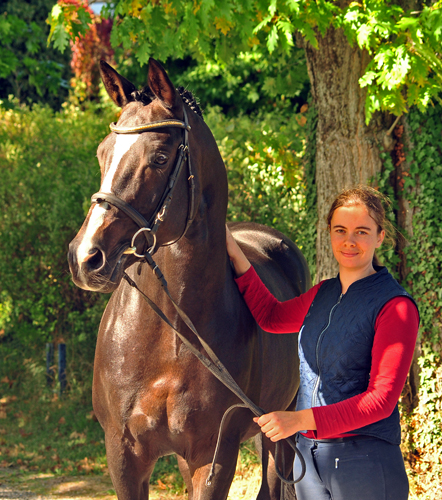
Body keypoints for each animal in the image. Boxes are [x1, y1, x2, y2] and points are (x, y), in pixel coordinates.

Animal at [69, 59, 310, 500]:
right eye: (102, 153)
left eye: (161, 157)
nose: (85, 257)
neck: (171, 336)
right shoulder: (123, 455)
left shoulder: (212, 457)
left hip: (281, 428)